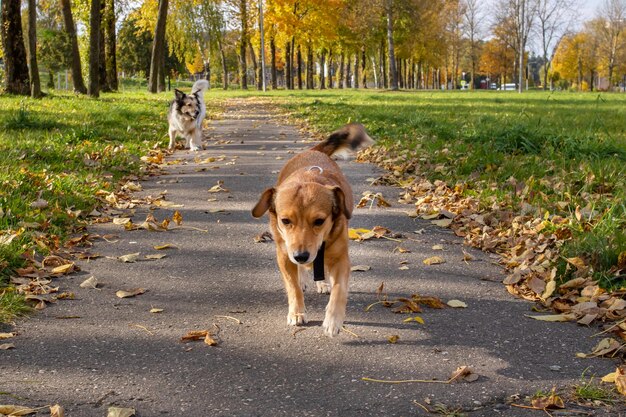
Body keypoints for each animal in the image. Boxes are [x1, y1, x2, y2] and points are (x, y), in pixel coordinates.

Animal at [251, 122, 372, 334]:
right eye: (285, 220)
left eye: (319, 221)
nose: (301, 256)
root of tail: (313, 151)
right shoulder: (284, 256)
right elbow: (292, 287)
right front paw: (297, 312)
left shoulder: (341, 259)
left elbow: (339, 289)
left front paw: (333, 320)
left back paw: (322, 282)